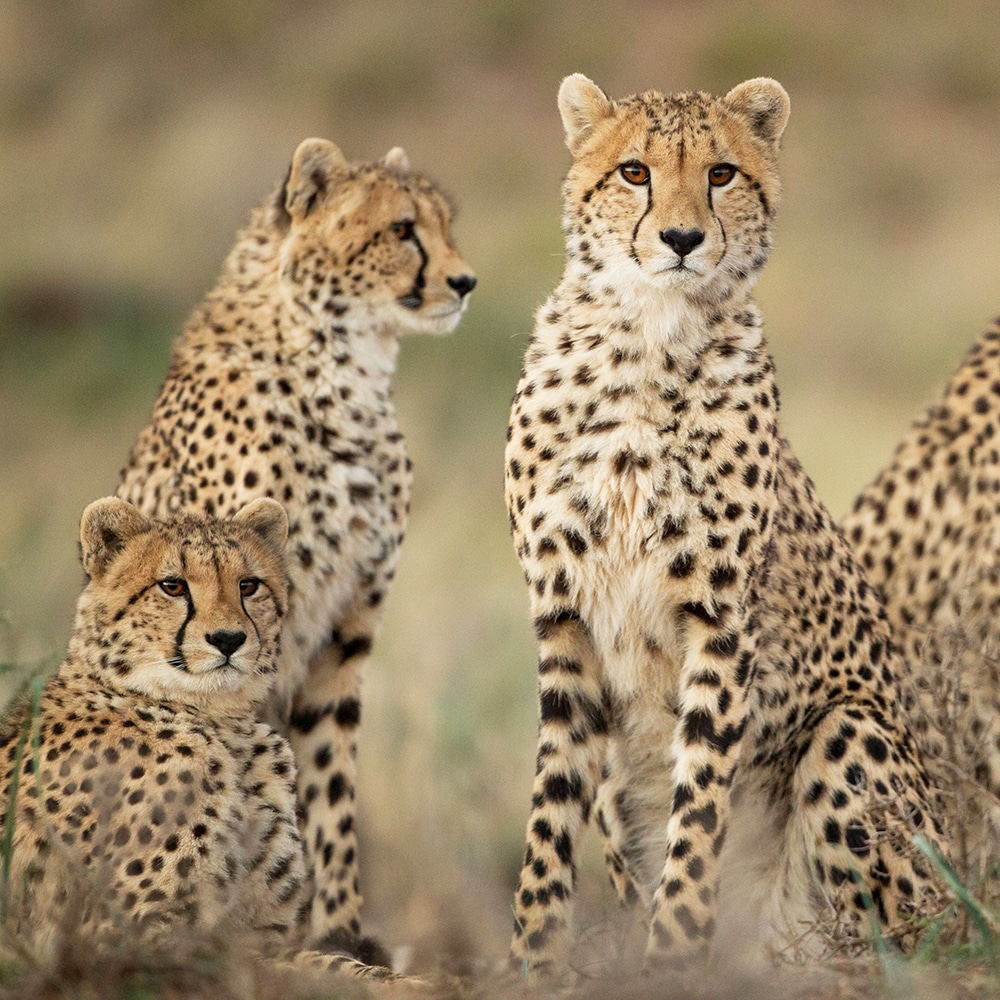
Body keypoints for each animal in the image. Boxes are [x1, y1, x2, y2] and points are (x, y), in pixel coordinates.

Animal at [116, 136, 476, 956]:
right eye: (403, 229)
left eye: (445, 224)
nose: (465, 281)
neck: (347, 371)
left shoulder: (345, 625)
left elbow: (330, 779)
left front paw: (339, 930)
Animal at [504, 73, 949, 979]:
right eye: (634, 171)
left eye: (720, 174)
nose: (681, 238)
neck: (647, 342)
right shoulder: (563, 620)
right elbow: (549, 810)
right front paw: (532, 961)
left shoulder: (720, 622)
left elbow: (700, 807)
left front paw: (673, 959)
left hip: (852, 737)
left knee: (896, 950)